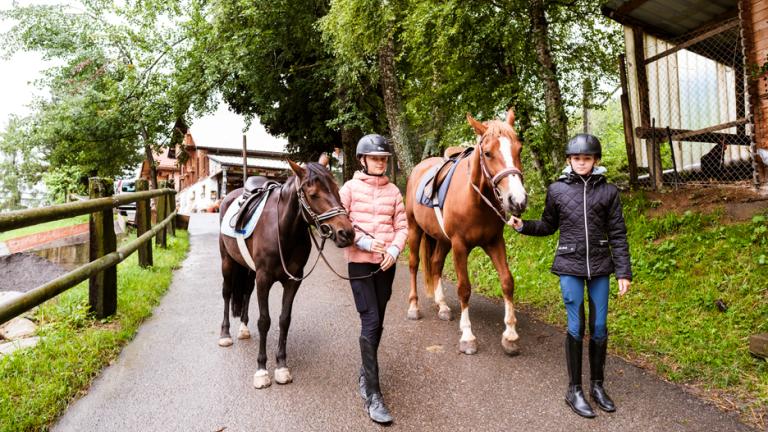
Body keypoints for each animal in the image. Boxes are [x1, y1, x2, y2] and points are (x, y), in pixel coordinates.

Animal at [216, 161, 354, 388]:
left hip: (249, 269)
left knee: (246, 292)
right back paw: (225, 334)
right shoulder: (264, 278)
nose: (347, 233)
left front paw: (281, 366)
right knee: (227, 293)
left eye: (337, 190)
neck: (282, 229)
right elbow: (264, 321)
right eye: (313, 194)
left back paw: (243, 328)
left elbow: (284, 320)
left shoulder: (293, 280)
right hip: (227, 262)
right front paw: (262, 370)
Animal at [402, 109, 528, 356]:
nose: (517, 200)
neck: (476, 199)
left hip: (442, 239)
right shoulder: (460, 245)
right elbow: (464, 289)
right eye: (487, 153)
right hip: (414, 229)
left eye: (519, 149)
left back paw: (442, 306)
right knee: (414, 264)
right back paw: (413, 307)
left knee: (436, 263)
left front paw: (510, 335)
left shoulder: (494, 242)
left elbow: (507, 281)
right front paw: (468, 336)